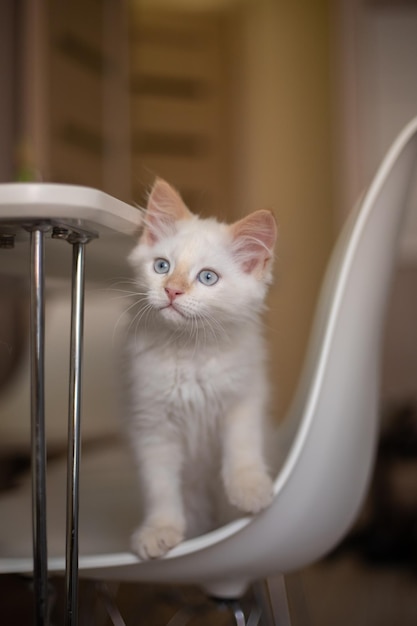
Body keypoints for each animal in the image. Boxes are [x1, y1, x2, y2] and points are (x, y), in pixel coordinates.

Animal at [123, 177, 276, 556]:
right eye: (162, 267)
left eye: (207, 278)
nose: (172, 291)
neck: (189, 352)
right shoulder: (151, 425)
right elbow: (160, 486)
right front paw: (160, 530)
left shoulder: (244, 397)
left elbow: (242, 446)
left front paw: (250, 489)